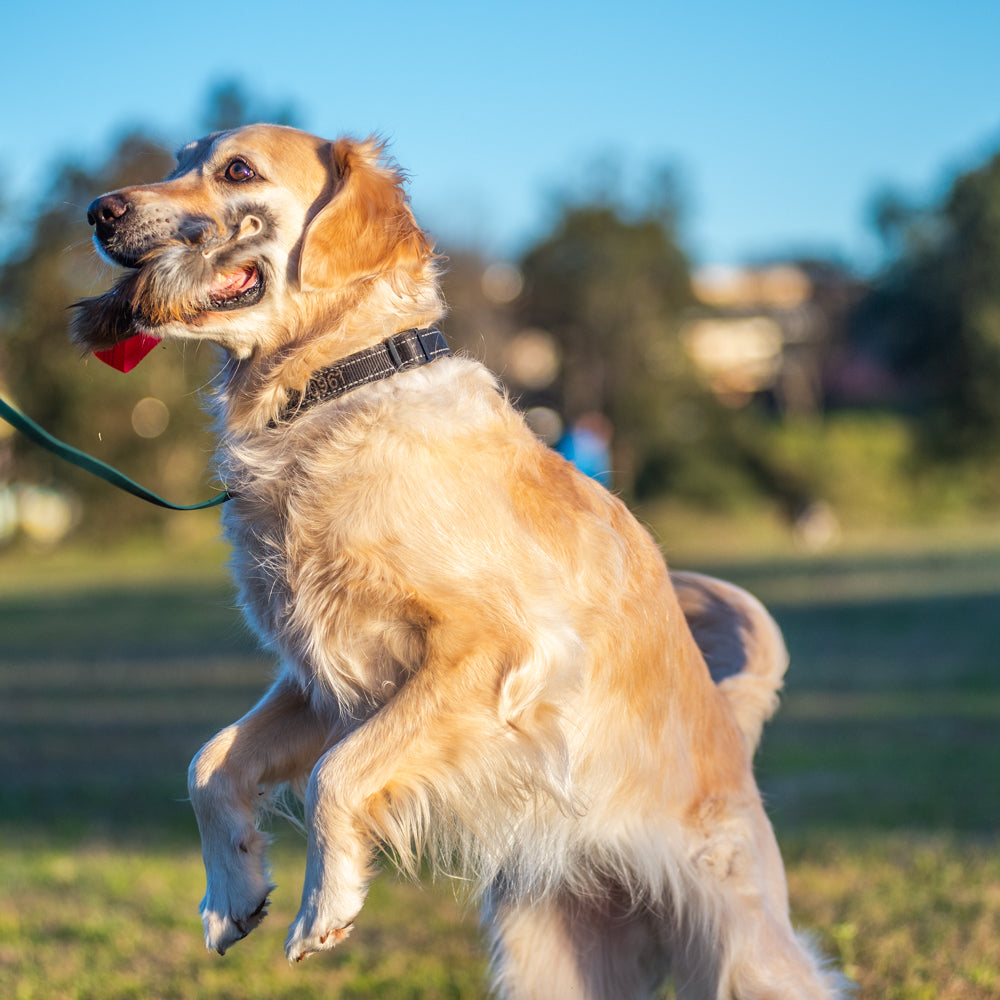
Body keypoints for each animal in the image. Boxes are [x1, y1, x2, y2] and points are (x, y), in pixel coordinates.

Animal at [70, 127, 840, 1000]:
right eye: (177, 160)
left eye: (237, 170)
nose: (99, 211)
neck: (332, 391)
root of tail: (733, 734)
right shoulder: (323, 679)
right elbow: (210, 764)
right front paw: (233, 895)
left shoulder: (494, 650)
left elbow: (334, 775)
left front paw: (324, 906)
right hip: (548, 963)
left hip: (744, 953)